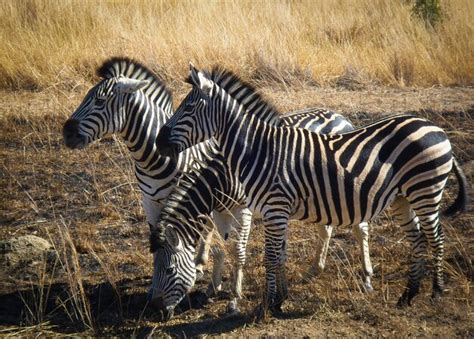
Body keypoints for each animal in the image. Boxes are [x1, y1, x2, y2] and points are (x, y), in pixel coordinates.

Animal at [148, 107, 374, 318]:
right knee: (325, 230)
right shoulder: (220, 212)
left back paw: (366, 278)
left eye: (169, 270)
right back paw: (313, 270)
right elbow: (220, 249)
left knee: (360, 230)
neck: (220, 178)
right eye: (154, 267)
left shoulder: (243, 210)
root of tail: (339, 116)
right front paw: (212, 288)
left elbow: (238, 251)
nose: (157, 311)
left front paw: (234, 299)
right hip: (321, 196)